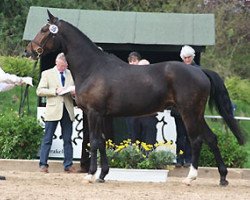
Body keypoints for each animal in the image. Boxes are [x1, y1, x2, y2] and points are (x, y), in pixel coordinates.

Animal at [24, 10, 244, 186]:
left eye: (44, 30)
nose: (28, 51)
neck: (93, 68)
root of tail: (199, 71)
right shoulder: (102, 115)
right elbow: (102, 142)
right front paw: (102, 175)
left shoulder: (94, 113)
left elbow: (94, 141)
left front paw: (90, 175)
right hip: (196, 114)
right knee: (211, 138)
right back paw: (222, 178)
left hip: (189, 113)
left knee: (197, 140)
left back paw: (190, 178)